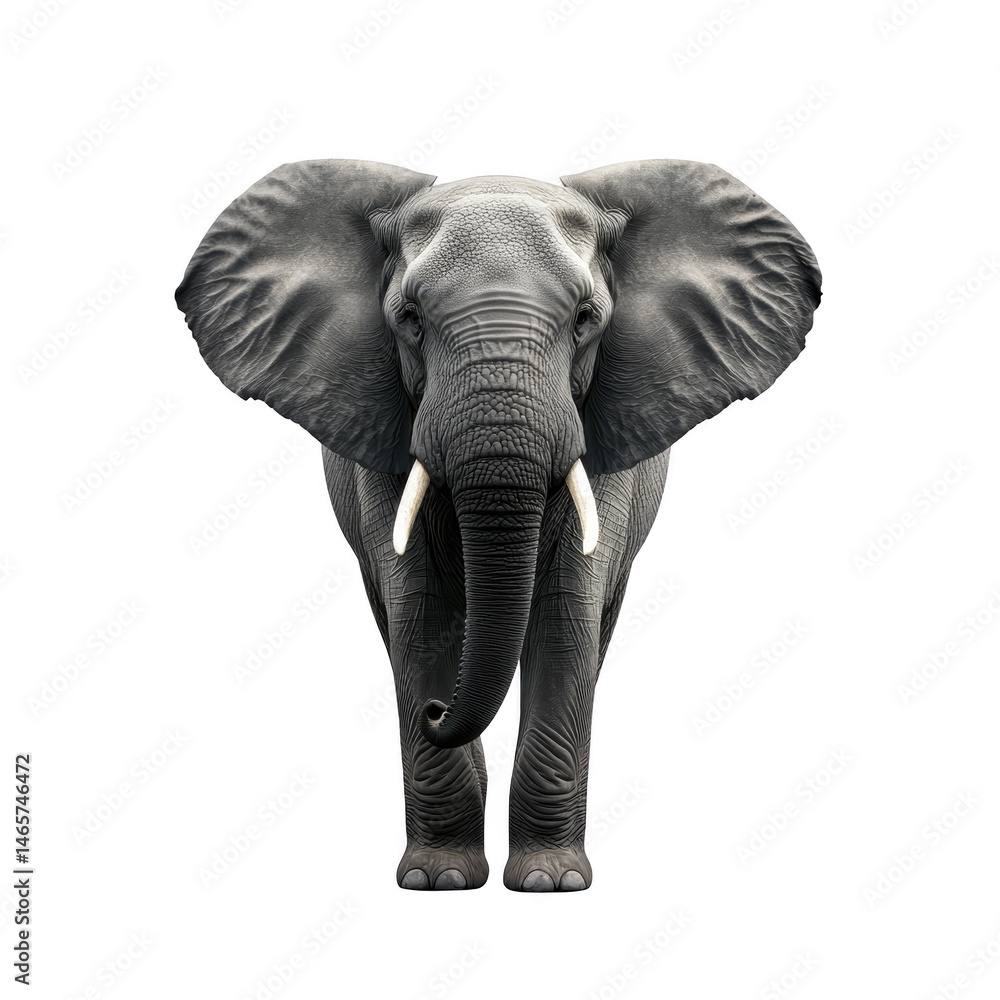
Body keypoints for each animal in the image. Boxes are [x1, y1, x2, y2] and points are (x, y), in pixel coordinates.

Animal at [175, 158, 821, 891]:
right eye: (410, 319)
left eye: (585, 319)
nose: (435, 713)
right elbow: (420, 613)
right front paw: (439, 882)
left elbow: (566, 617)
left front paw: (549, 883)